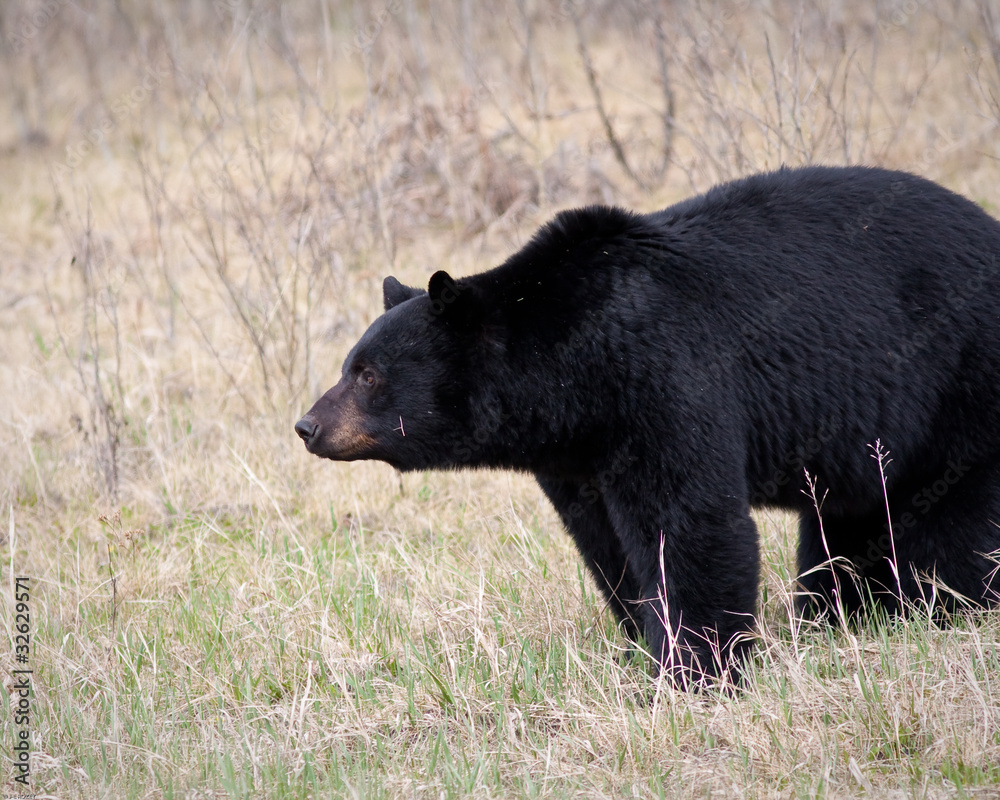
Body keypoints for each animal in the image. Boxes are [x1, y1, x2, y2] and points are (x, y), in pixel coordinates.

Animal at [296, 166, 1000, 684]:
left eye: (368, 374)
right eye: (350, 364)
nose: (307, 425)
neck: (573, 367)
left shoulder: (664, 379)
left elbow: (685, 521)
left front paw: (696, 668)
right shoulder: (578, 451)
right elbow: (605, 541)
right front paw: (641, 639)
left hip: (958, 380)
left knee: (950, 517)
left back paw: (946, 608)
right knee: (854, 514)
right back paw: (847, 614)